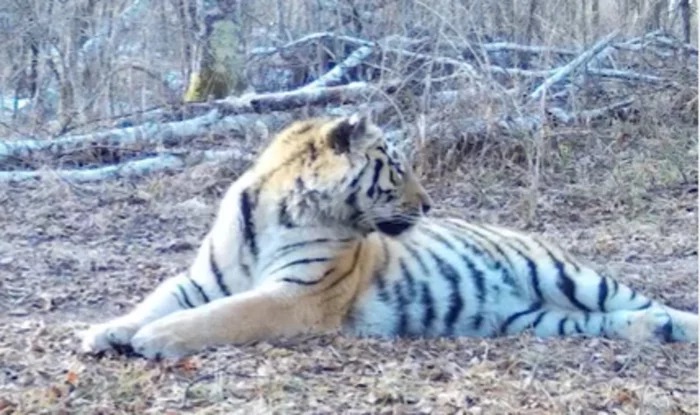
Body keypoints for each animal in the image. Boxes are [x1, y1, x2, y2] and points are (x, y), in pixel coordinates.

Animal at [79, 114, 696, 360]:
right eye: (396, 169)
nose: (429, 205)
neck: (277, 210)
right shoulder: (201, 278)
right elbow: (157, 300)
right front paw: (105, 331)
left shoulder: (299, 295)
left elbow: (224, 315)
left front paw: (157, 338)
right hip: (533, 318)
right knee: (605, 320)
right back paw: (650, 331)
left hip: (565, 275)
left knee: (646, 299)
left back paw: (674, 325)